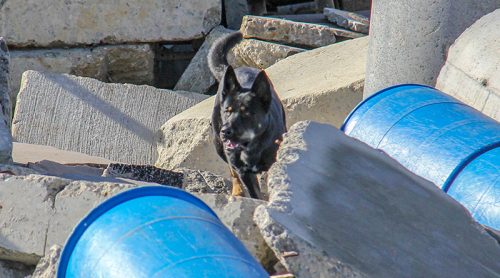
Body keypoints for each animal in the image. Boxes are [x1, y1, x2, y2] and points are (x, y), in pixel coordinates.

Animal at [207, 31, 286, 199]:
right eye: (227, 111)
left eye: (247, 113)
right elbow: (253, 190)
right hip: (218, 145)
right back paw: (237, 190)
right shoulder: (244, 172)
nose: (225, 131)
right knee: (232, 170)